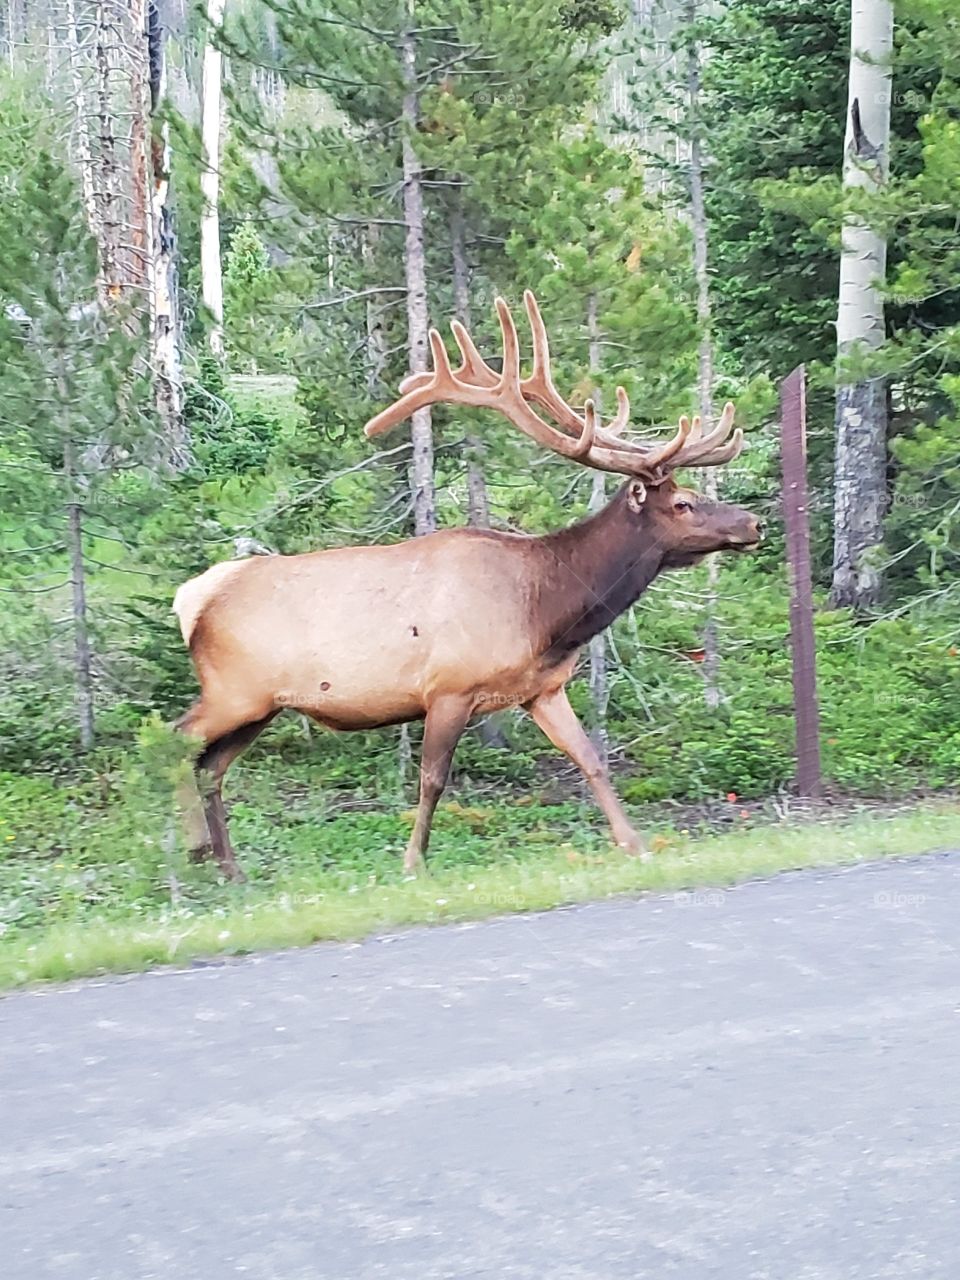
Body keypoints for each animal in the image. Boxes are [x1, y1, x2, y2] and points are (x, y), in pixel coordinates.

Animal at [174, 291, 761, 881]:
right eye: (682, 503)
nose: (753, 523)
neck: (548, 614)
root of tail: (191, 599)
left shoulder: (542, 690)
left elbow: (590, 759)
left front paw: (634, 843)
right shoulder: (448, 688)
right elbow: (432, 780)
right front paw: (413, 862)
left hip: (260, 706)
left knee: (209, 767)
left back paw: (228, 866)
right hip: (233, 690)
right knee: (177, 741)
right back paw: (192, 852)